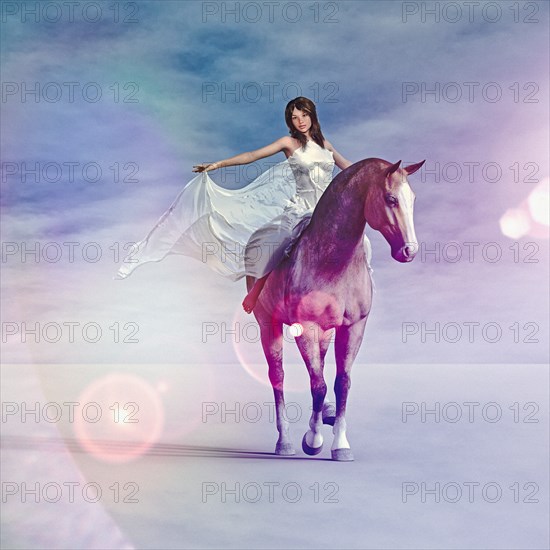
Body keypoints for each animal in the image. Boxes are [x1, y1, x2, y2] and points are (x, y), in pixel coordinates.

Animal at [247, 158, 426, 462]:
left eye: (412, 199)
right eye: (391, 199)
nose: (409, 251)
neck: (332, 258)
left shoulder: (352, 327)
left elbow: (341, 383)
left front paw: (340, 444)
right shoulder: (305, 326)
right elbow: (317, 385)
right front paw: (313, 440)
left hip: (325, 333)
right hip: (267, 324)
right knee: (278, 377)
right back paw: (285, 442)